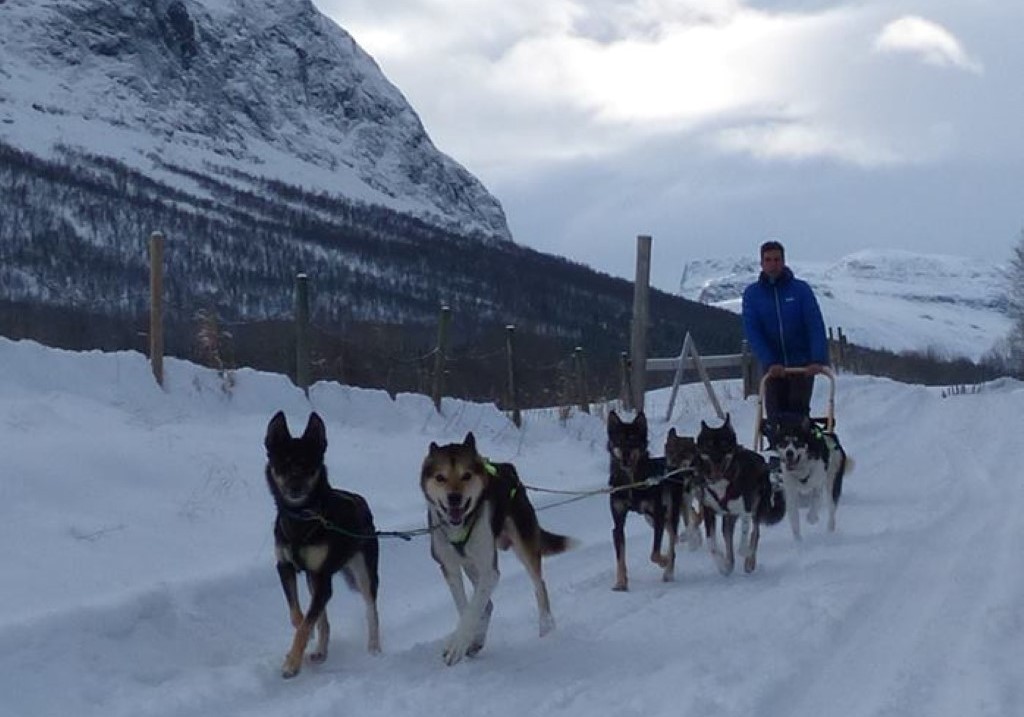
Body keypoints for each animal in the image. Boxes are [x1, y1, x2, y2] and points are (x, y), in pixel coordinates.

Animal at [264, 411, 380, 680]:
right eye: (283, 464)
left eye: (308, 466)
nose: (295, 488)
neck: (301, 518)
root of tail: (361, 501)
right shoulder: (286, 567)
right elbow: (300, 617)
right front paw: (301, 649)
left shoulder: (322, 576)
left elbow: (307, 623)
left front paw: (292, 664)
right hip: (312, 578)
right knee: (323, 617)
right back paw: (321, 651)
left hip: (364, 572)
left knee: (371, 610)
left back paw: (374, 649)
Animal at [417, 432, 577, 667]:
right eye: (440, 477)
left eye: (466, 475)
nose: (454, 497)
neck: (461, 525)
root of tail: (508, 468)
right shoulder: (450, 568)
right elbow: (467, 607)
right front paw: (468, 640)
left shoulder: (490, 571)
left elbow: (474, 608)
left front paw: (458, 645)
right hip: (471, 564)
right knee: (488, 603)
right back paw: (478, 639)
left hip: (523, 546)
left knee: (539, 585)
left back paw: (546, 626)